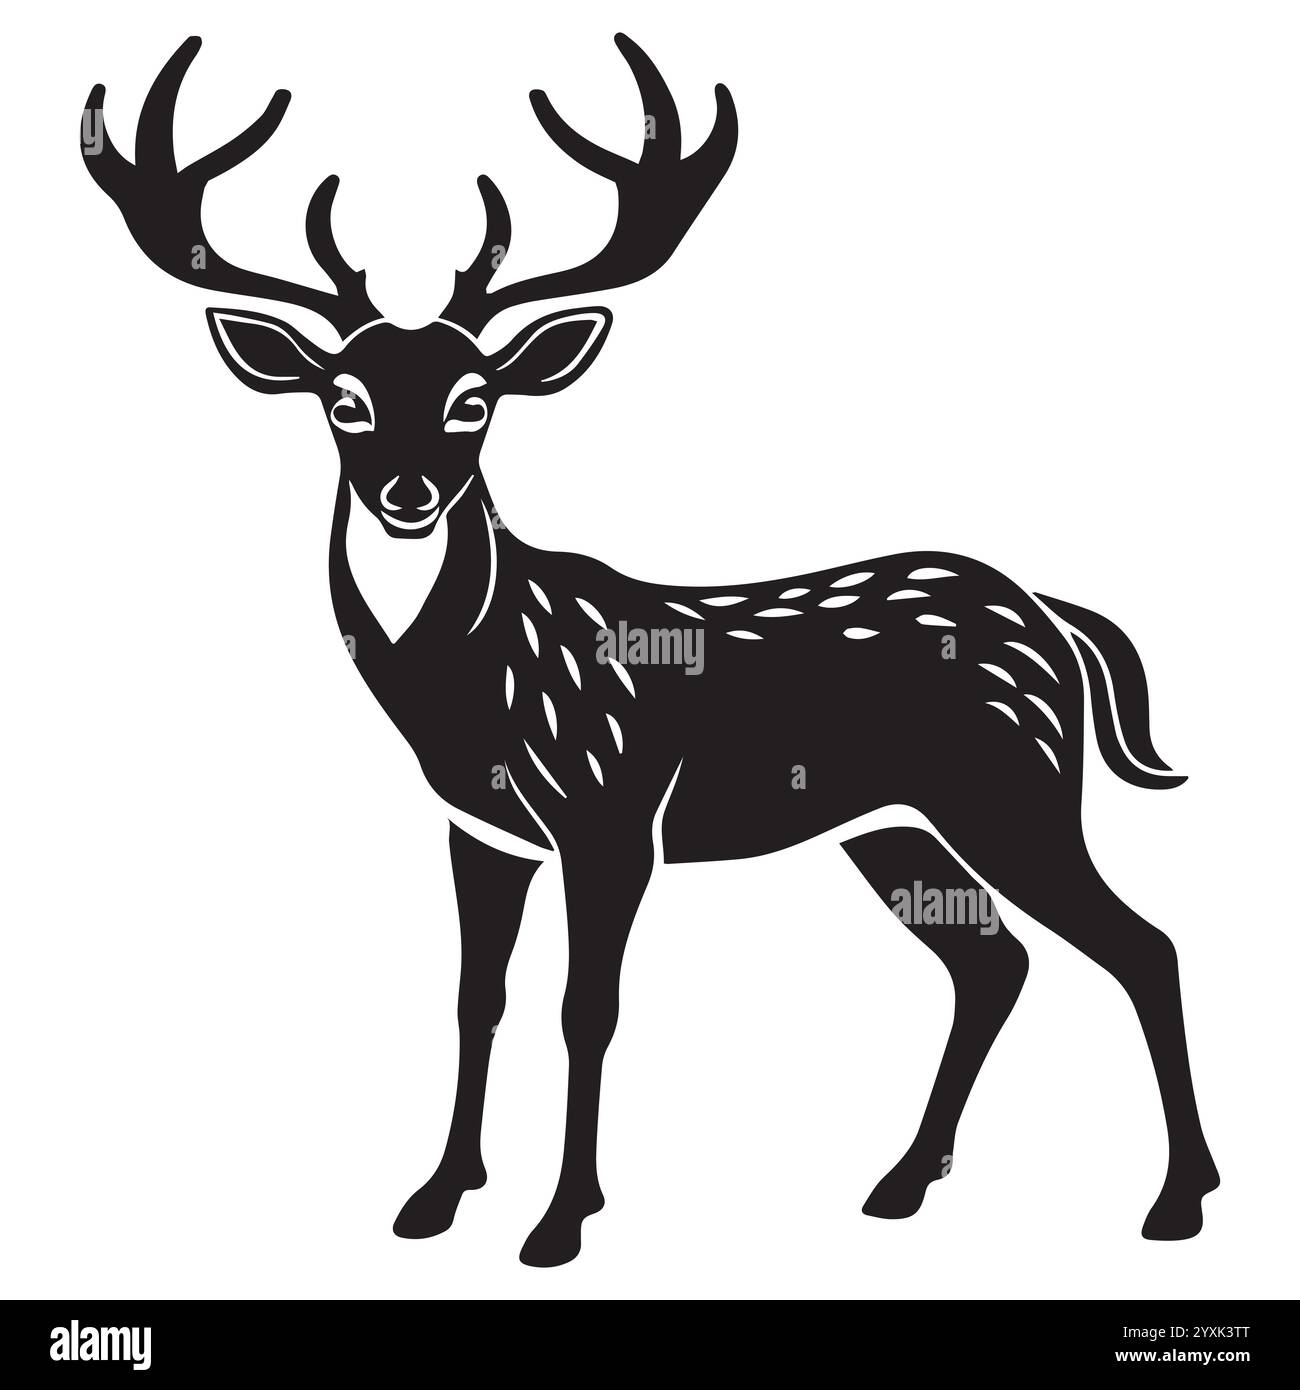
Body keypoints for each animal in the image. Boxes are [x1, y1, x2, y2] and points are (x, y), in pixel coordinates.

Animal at [82, 34, 1218, 1266]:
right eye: (343, 399)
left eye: (474, 400)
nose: (408, 492)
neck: (479, 689)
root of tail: (1055, 618)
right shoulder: (480, 828)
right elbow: (476, 996)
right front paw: (435, 1197)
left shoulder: (611, 808)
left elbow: (589, 1008)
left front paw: (559, 1220)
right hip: (895, 825)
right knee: (994, 960)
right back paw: (903, 1181)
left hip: (1014, 786)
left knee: (1141, 944)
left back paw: (1177, 1199)